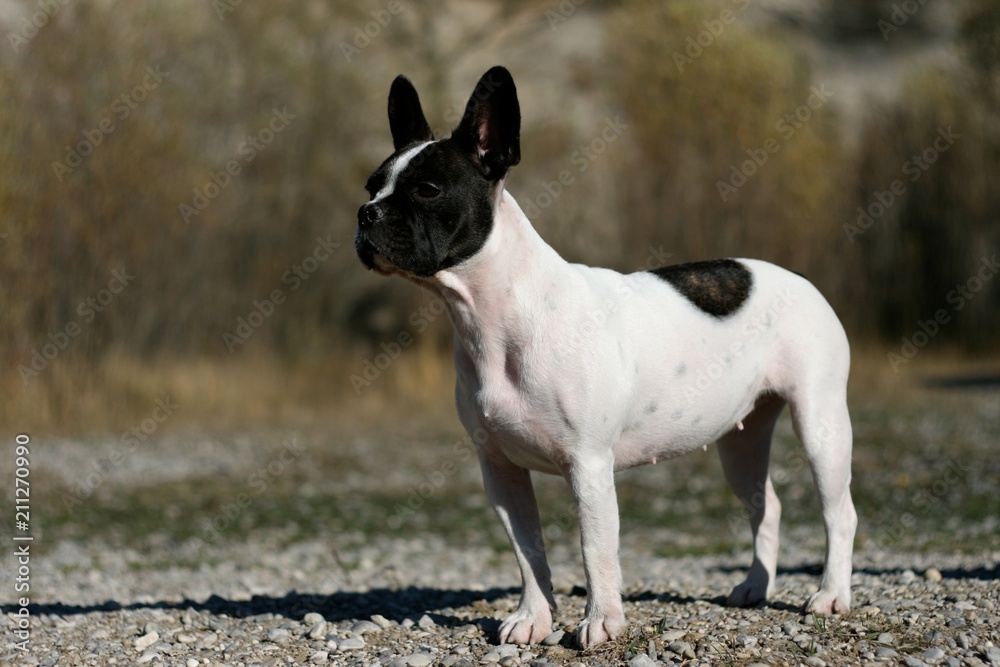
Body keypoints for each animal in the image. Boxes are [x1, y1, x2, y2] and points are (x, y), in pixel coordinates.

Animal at [356, 68, 856, 648]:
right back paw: (755, 586)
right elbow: (527, 550)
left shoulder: (588, 465)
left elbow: (595, 548)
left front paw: (601, 623)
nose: (366, 213)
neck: (493, 315)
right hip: (741, 440)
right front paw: (533, 619)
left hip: (820, 423)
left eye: (427, 190)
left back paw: (830, 595)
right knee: (765, 505)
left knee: (839, 512)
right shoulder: (501, 470)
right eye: (371, 186)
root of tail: (798, 279)